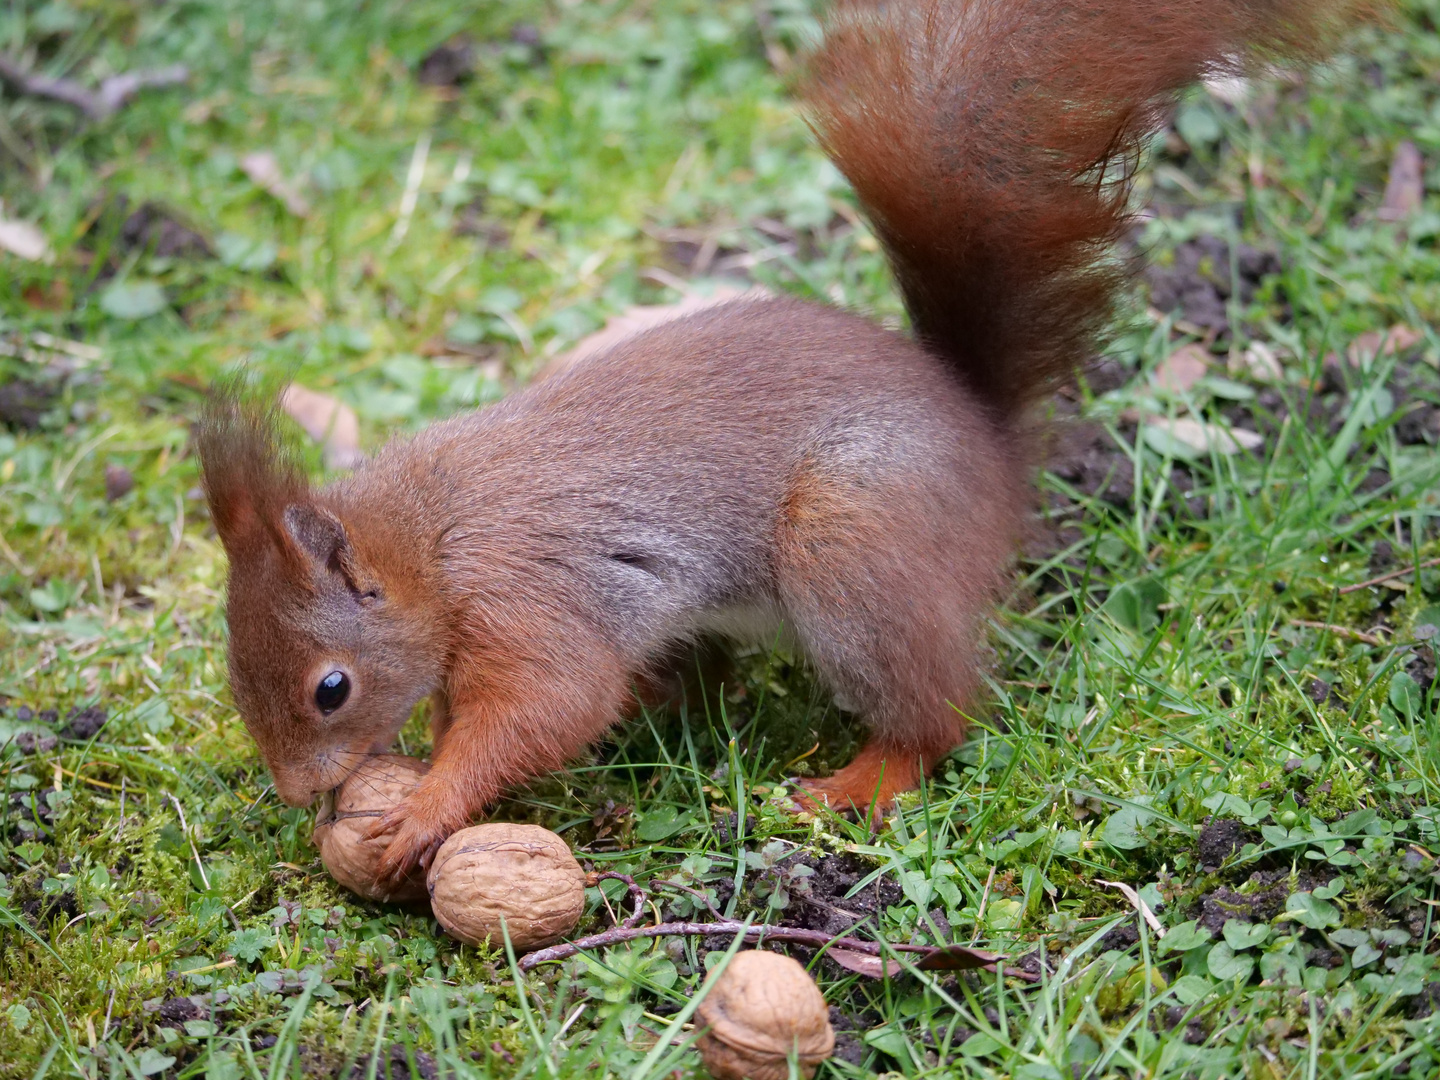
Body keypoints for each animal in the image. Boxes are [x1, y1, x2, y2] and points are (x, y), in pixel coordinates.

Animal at [197, 0, 1365, 887]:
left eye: (331, 688)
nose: (299, 793)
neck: (431, 541)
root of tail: (982, 439)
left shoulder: (527, 594)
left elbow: (548, 704)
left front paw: (425, 808)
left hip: (850, 540)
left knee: (937, 711)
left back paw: (858, 782)